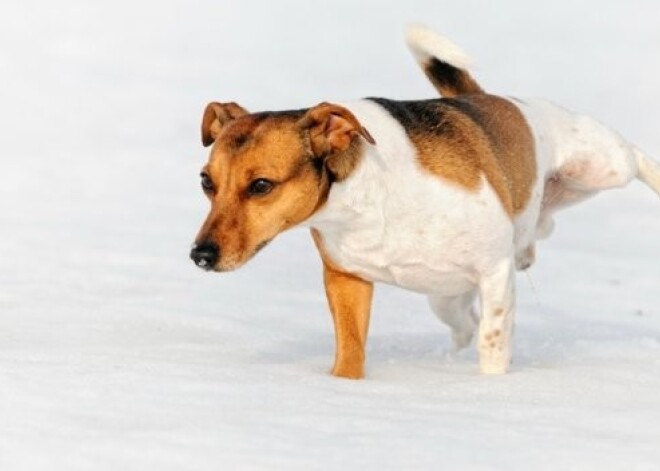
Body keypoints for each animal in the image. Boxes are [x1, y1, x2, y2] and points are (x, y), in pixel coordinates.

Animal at [191, 24, 660, 380]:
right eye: (206, 182)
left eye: (261, 185)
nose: (200, 255)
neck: (370, 192)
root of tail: (493, 98)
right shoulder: (347, 279)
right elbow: (351, 348)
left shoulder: (494, 271)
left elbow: (494, 345)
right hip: (446, 294)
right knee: (466, 319)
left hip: (601, 163)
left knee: (633, 156)